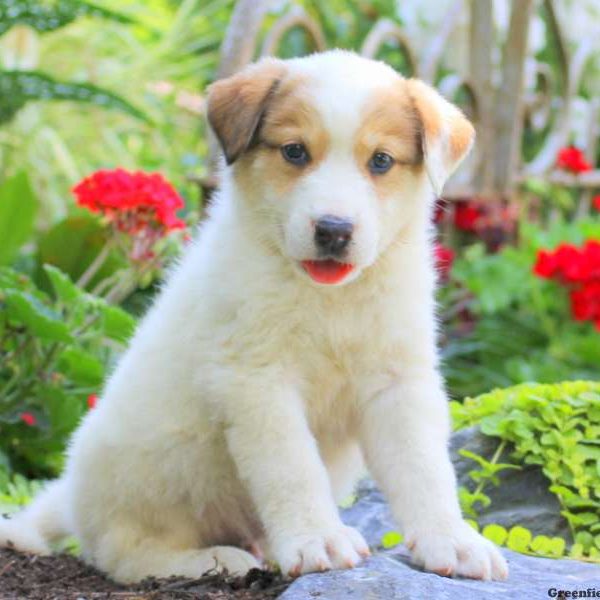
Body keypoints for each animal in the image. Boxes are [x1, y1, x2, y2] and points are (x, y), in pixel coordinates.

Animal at [0, 49, 508, 584]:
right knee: (124, 553)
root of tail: (72, 494)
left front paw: (452, 540)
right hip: (161, 464)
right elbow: (293, 466)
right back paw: (214, 559)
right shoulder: (257, 379)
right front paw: (317, 538)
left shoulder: (399, 380)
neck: (329, 299)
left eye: (381, 161)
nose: (333, 230)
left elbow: (425, 467)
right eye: (295, 152)